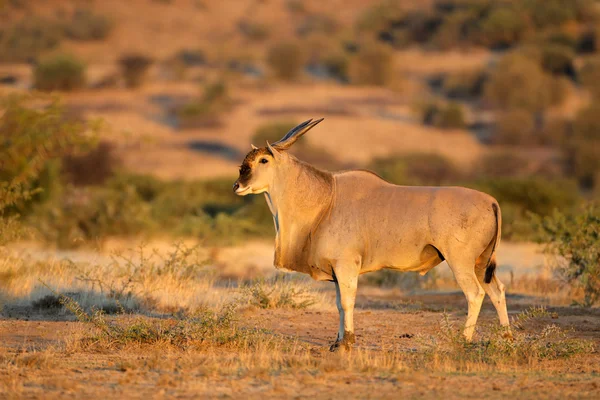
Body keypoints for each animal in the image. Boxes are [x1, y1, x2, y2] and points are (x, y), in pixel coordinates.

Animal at [232, 119, 508, 350]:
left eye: (263, 161)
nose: (237, 185)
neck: (326, 198)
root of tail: (492, 201)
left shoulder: (346, 265)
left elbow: (347, 302)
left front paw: (346, 342)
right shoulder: (336, 271)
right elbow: (338, 304)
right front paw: (337, 342)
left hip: (460, 262)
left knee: (475, 294)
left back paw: (463, 340)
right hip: (480, 264)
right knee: (497, 290)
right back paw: (506, 337)